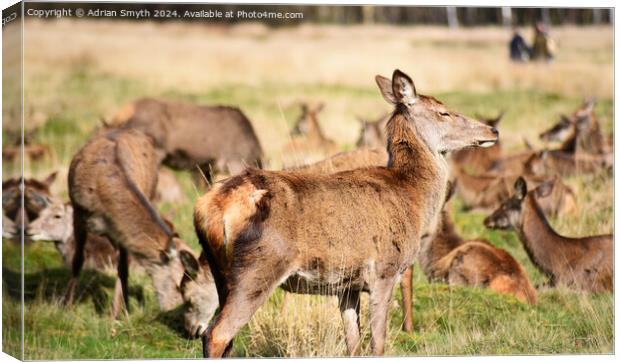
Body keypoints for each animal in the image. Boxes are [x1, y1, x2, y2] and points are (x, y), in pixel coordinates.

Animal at [183, 68, 498, 356]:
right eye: (444, 112)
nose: (492, 131)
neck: (413, 198)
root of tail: (209, 207)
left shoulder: (347, 286)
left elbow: (353, 345)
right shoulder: (383, 271)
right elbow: (378, 345)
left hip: (221, 271)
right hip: (259, 267)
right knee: (218, 334)